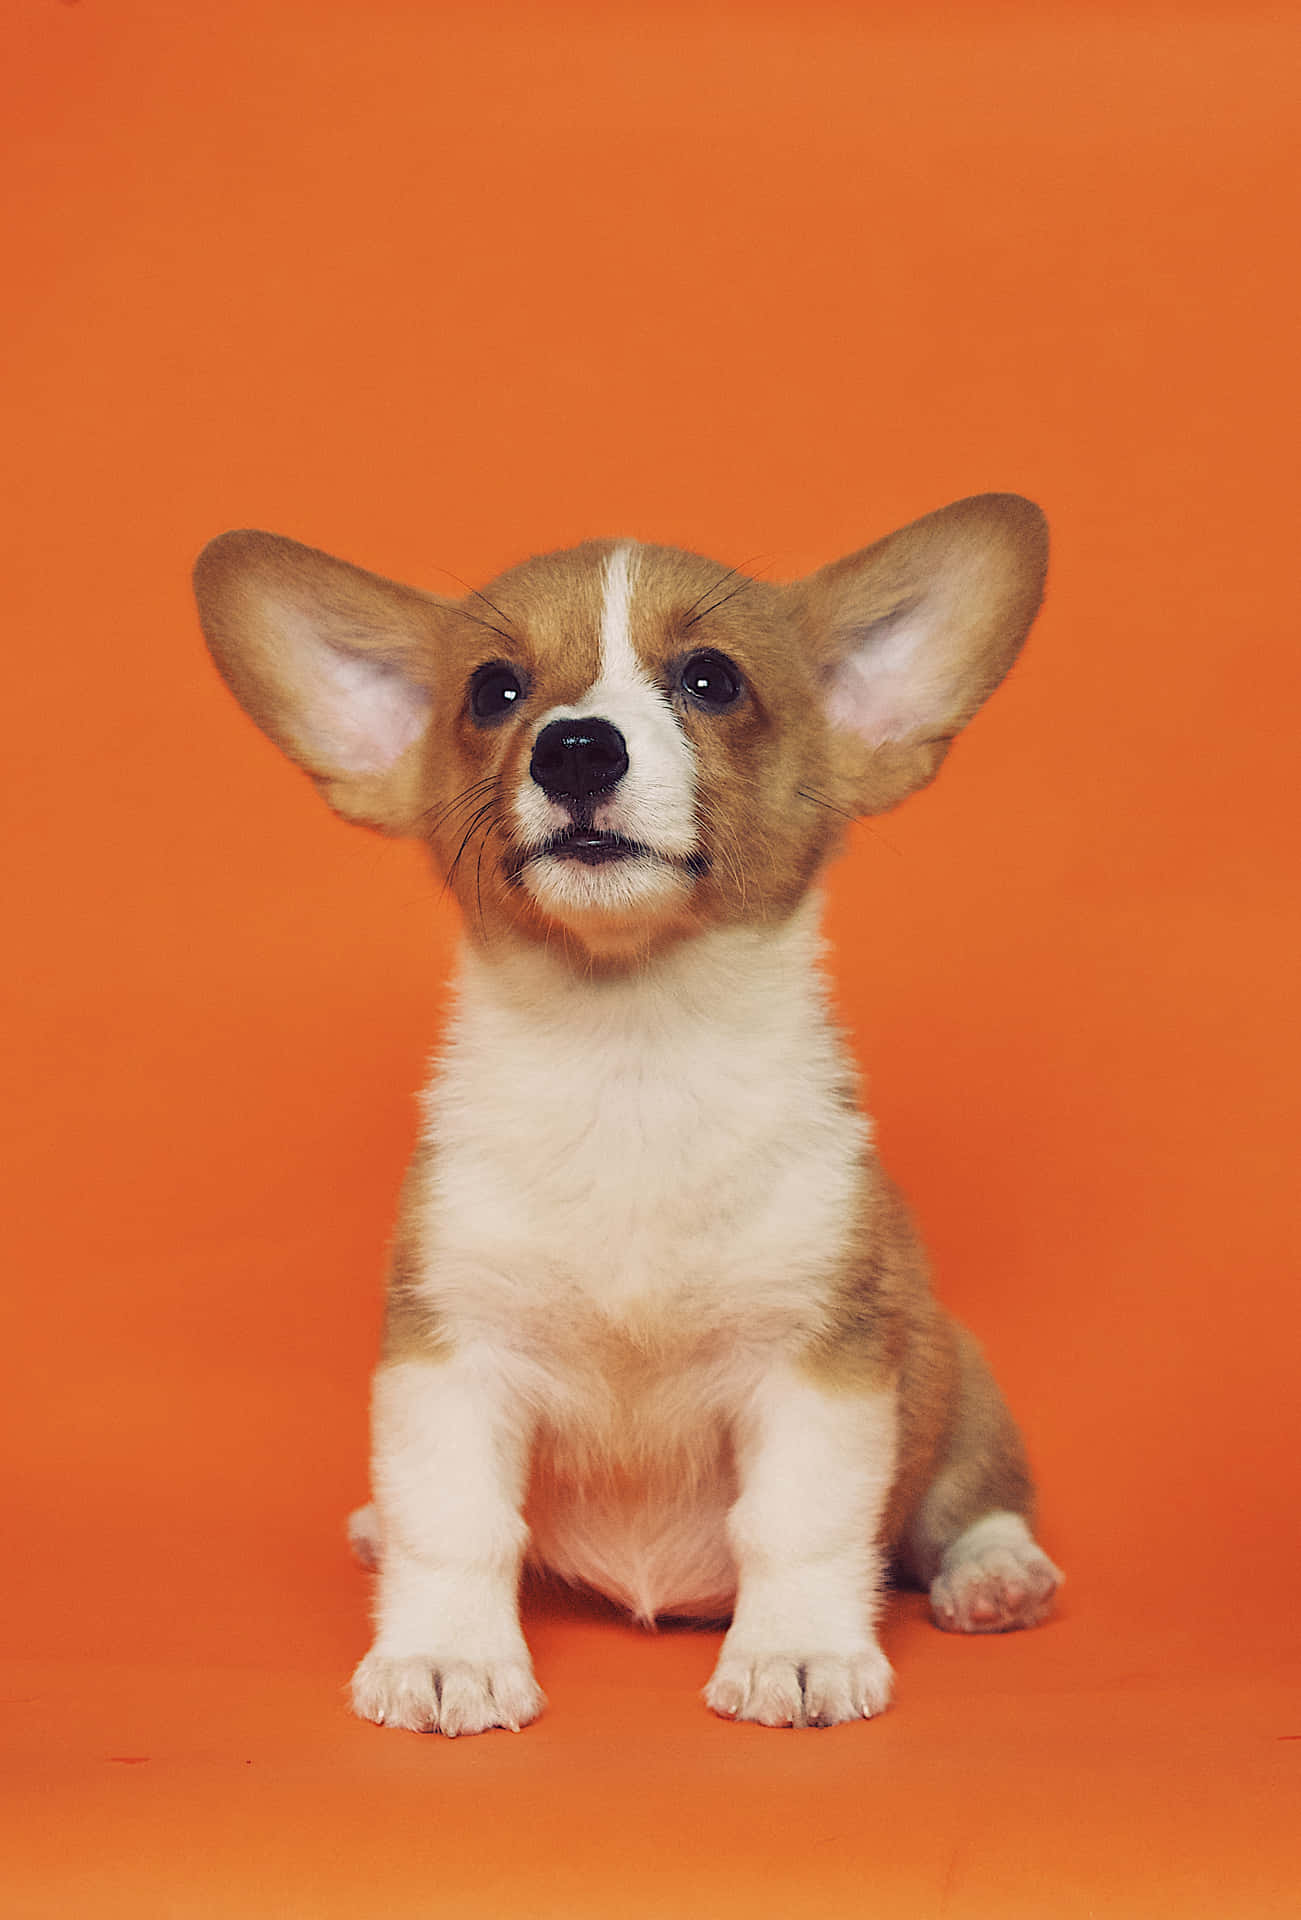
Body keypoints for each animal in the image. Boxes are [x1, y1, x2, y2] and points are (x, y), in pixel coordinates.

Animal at [198, 491, 1066, 1743]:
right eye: (492, 691)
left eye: (711, 680)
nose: (574, 747)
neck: (630, 1056)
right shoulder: (450, 1356)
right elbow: (452, 1523)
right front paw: (445, 1657)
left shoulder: (816, 1362)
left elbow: (797, 1524)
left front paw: (797, 1653)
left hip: (961, 1388)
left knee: (967, 1506)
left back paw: (996, 1576)